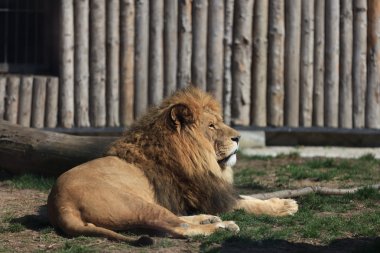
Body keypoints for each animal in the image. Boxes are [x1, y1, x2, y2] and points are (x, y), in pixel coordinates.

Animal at [46, 87, 296, 245]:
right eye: (212, 126)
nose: (239, 137)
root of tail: (61, 205)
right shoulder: (208, 195)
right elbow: (249, 203)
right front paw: (283, 207)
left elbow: (251, 197)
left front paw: (283, 202)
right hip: (136, 204)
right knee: (179, 229)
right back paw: (221, 226)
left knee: (176, 220)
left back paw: (208, 219)